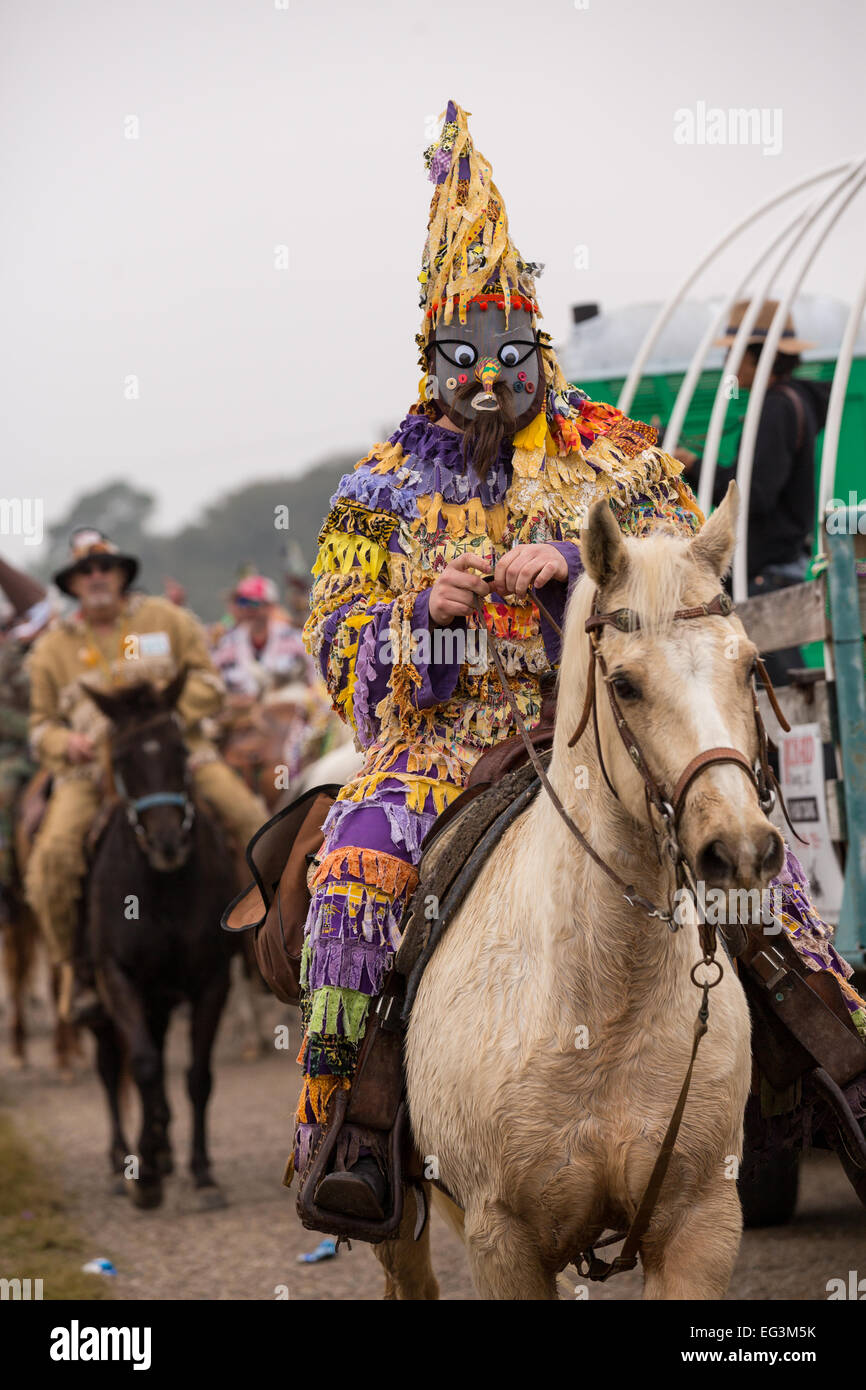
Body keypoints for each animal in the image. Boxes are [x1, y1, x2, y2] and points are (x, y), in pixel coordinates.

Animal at [375, 483, 783, 1295]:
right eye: (625, 684)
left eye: (750, 665)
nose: (742, 849)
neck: (599, 1005)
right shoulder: (503, 1239)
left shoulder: (702, 1225)